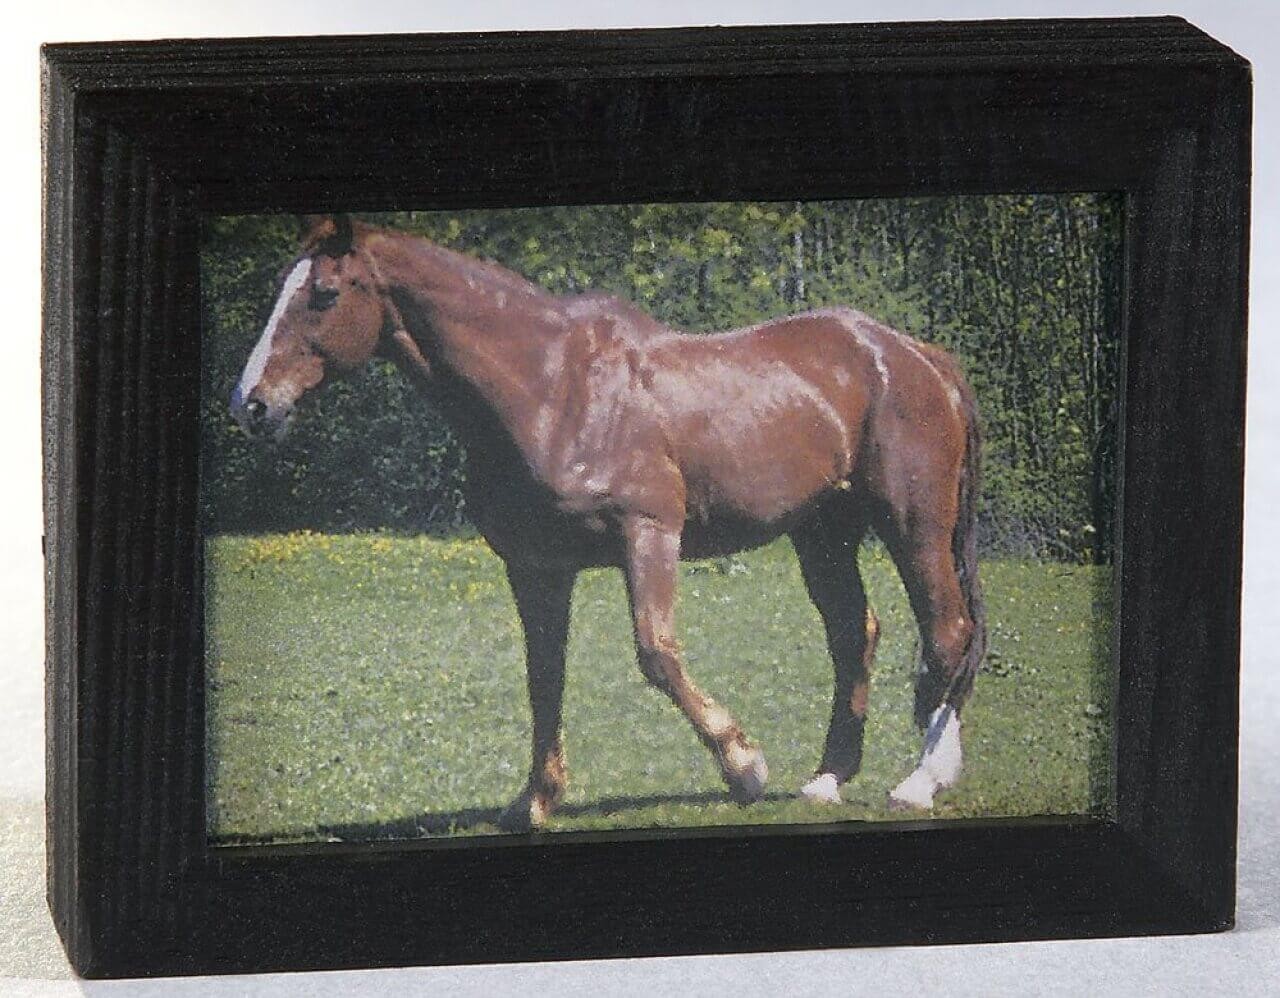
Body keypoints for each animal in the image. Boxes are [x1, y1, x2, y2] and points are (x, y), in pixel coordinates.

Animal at [232, 214, 988, 829]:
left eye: (325, 293)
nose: (251, 404)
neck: (552, 389)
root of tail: (917, 357)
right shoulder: (536, 566)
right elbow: (544, 674)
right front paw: (535, 800)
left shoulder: (647, 533)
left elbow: (656, 653)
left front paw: (743, 766)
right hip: (824, 530)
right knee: (854, 633)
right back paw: (830, 777)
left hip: (913, 521)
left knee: (947, 629)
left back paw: (921, 780)